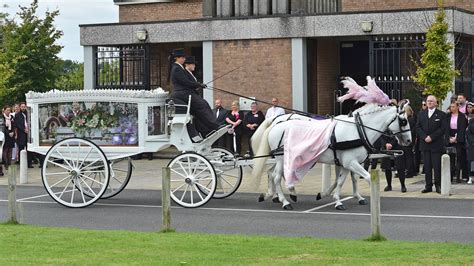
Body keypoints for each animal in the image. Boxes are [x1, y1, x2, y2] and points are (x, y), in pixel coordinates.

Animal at [252, 104, 412, 210]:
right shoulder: (350, 162)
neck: (358, 130)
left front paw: (339, 199)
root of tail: (276, 125)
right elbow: (366, 177)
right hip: (281, 159)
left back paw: (278, 195)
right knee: (276, 177)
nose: (409, 141)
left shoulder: (347, 163)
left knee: (272, 174)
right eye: (403, 121)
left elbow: (342, 181)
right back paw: (285, 201)